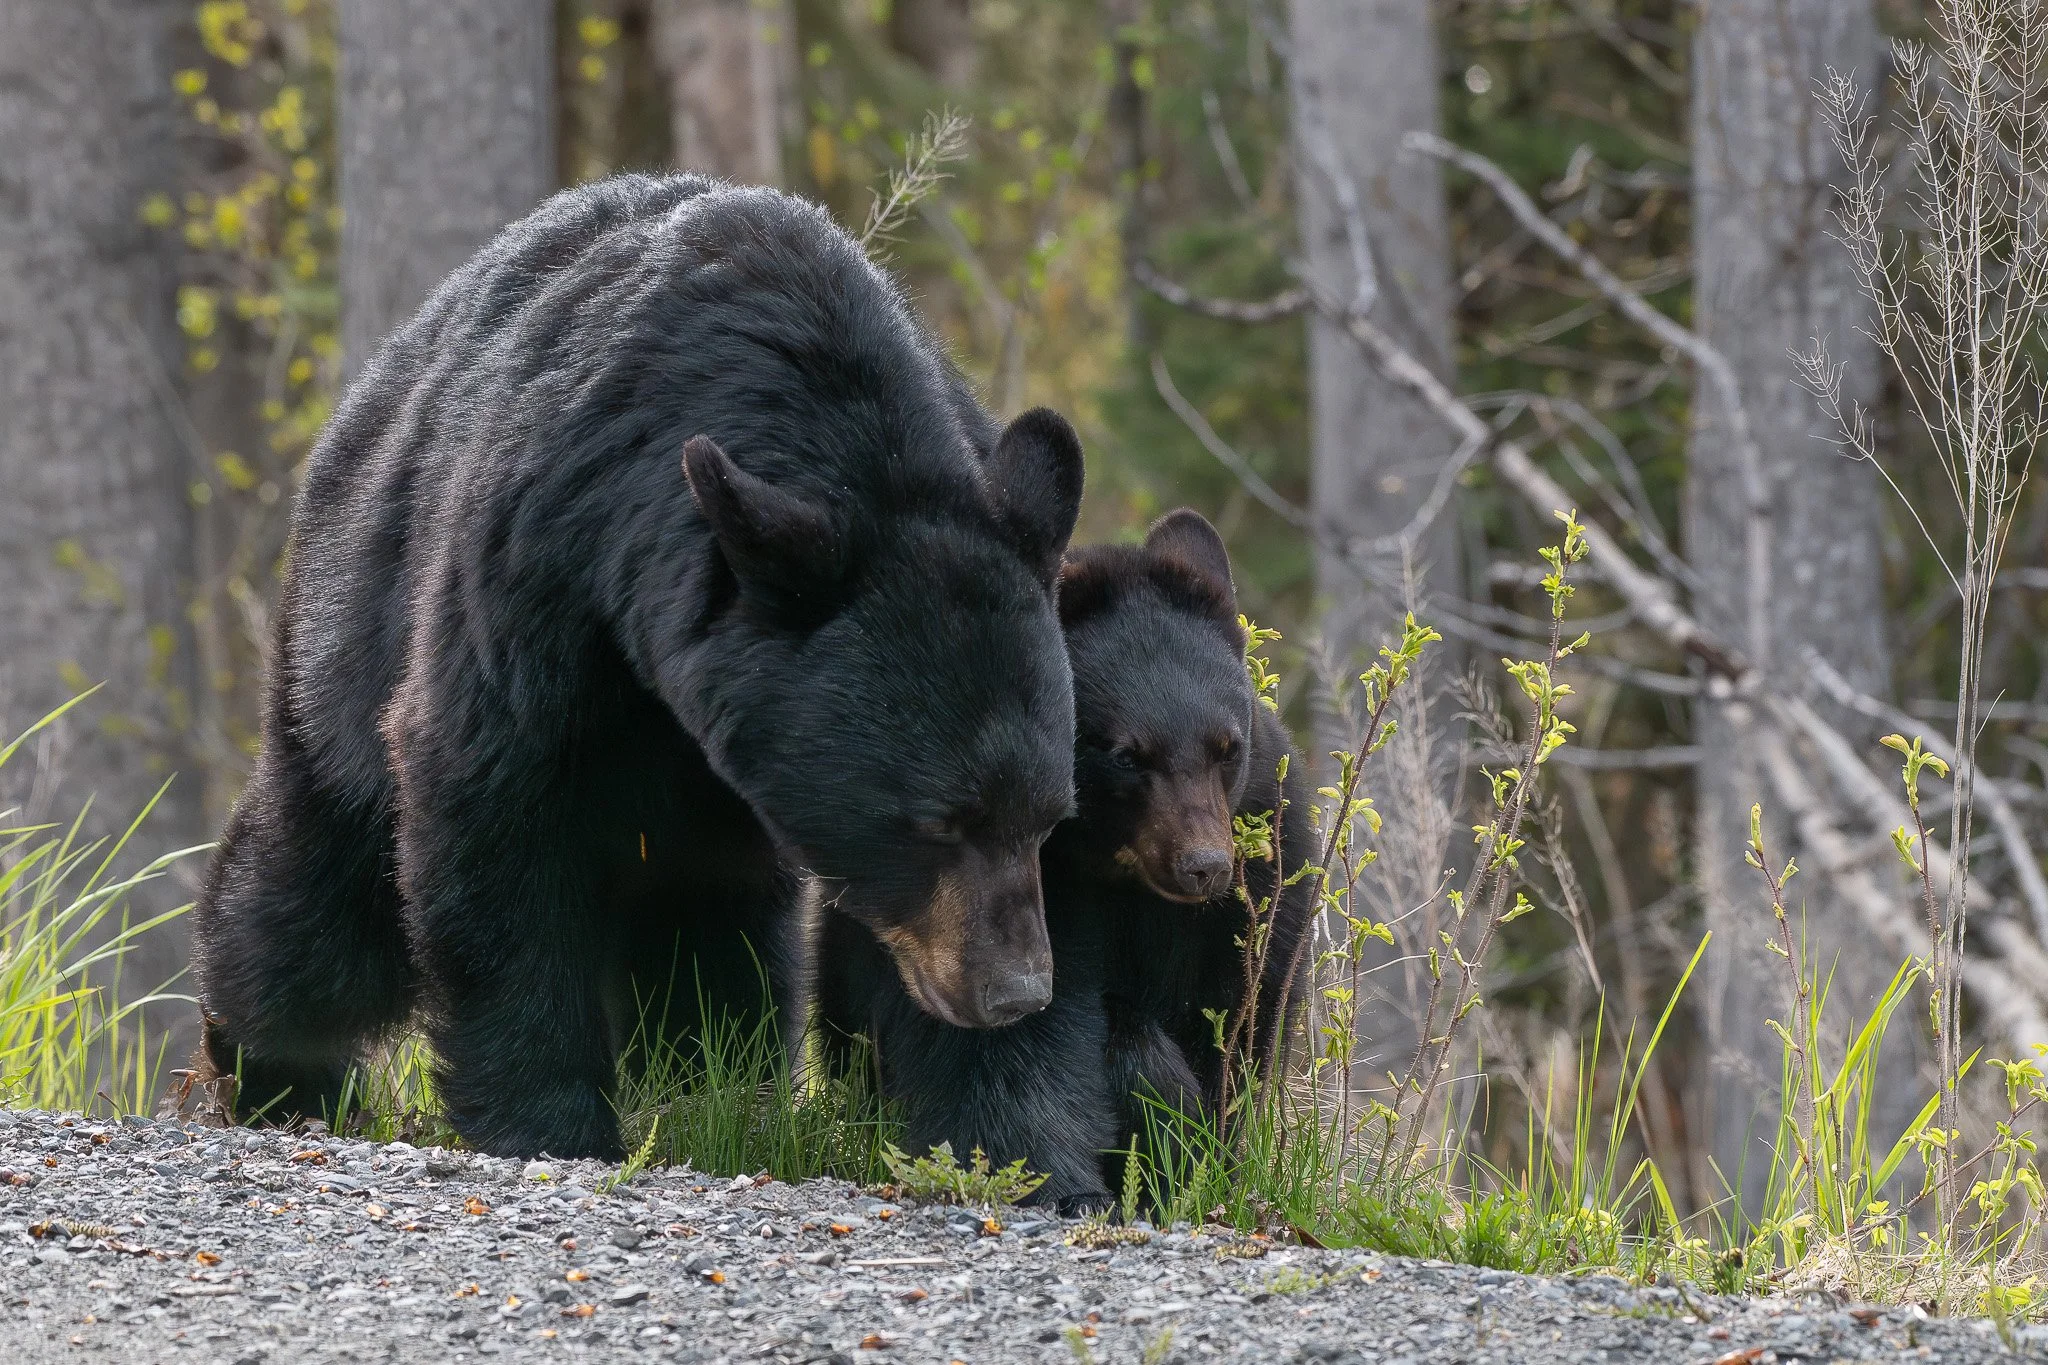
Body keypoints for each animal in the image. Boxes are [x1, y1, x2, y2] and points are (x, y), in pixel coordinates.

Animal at [187, 174, 1086, 1161]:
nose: (1016, 989)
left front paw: (1010, 1138)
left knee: (713, 923)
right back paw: (271, 1066)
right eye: (935, 821)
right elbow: (493, 823)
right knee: (318, 902)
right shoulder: (538, 573)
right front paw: (549, 1118)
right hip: (349, 624)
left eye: (1047, 815)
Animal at [815, 509, 1313, 1211]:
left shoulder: (1261, 881)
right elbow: (1009, 1034)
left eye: (1227, 747)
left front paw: (1196, 1157)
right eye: (1127, 753)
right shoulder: (990, 888)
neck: (1114, 871)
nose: (1206, 865)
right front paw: (1053, 1177)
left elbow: (1237, 1026)